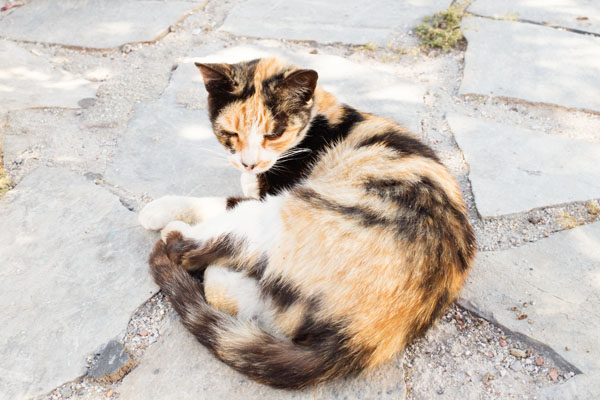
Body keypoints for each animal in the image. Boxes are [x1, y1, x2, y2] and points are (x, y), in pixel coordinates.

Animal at [139, 57, 476, 389]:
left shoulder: (272, 192)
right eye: (231, 133)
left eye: (273, 134)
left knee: (195, 249)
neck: (316, 122)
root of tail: (369, 336)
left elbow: (225, 201)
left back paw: (181, 241)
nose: (249, 163)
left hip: (289, 211)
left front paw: (158, 212)